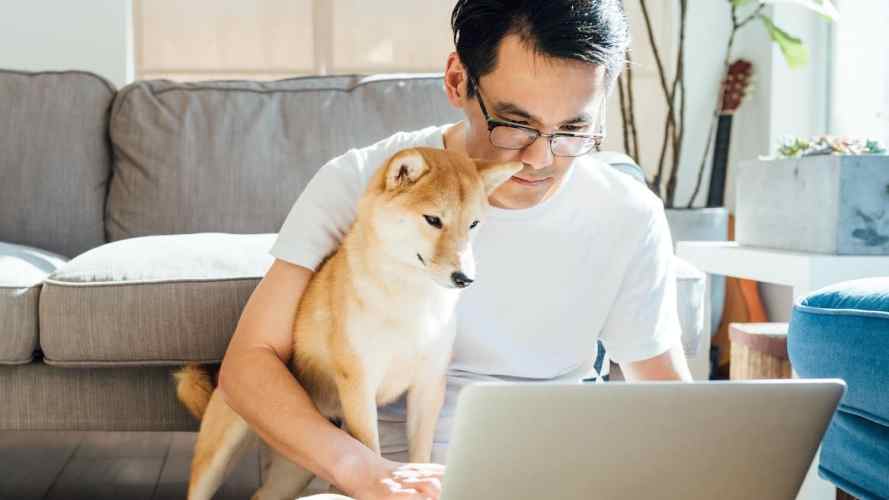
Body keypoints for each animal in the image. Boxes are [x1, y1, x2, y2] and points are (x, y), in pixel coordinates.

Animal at [173, 146, 520, 498]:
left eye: (473, 224)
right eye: (433, 219)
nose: (465, 278)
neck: (410, 299)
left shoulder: (427, 386)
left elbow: (421, 453)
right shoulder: (359, 384)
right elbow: (371, 452)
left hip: (296, 466)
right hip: (224, 447)